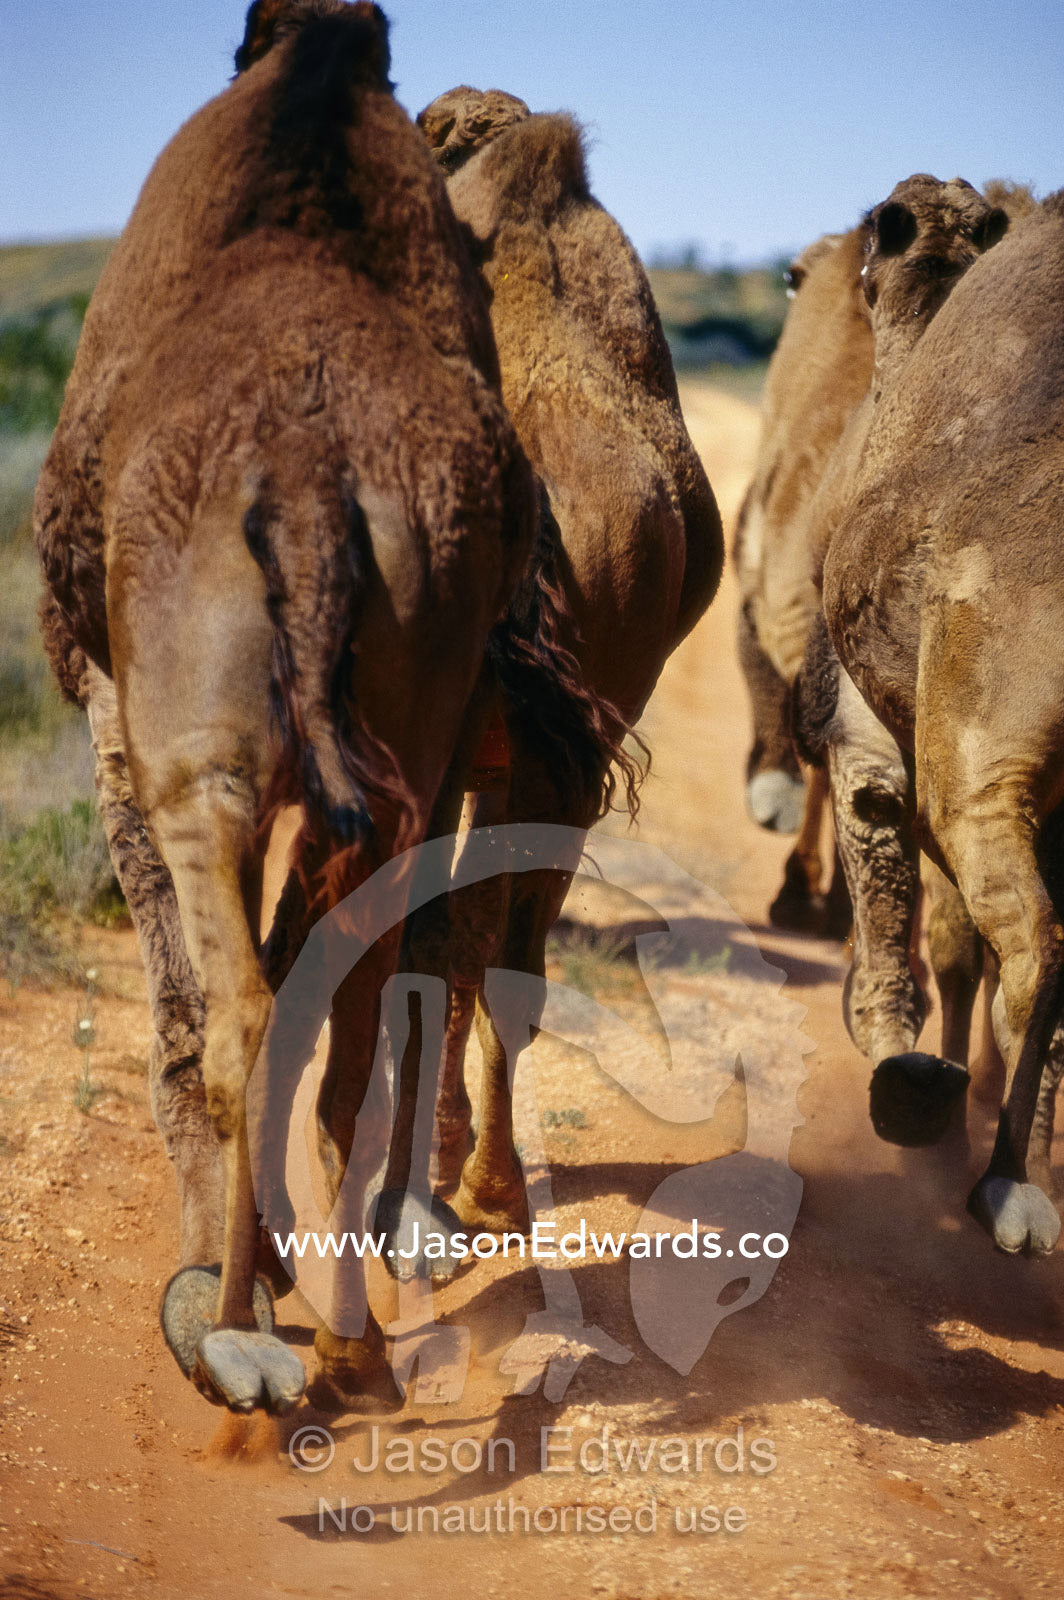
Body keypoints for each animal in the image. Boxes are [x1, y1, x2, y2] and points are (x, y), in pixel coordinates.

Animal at [35, 0, 541, 1413]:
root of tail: (311, 482)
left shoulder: (110, 694)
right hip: (406, 705)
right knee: (342, 1012)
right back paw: (350, 1338)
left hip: (196, 736)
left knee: (246, 1015)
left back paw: (232, 1330)